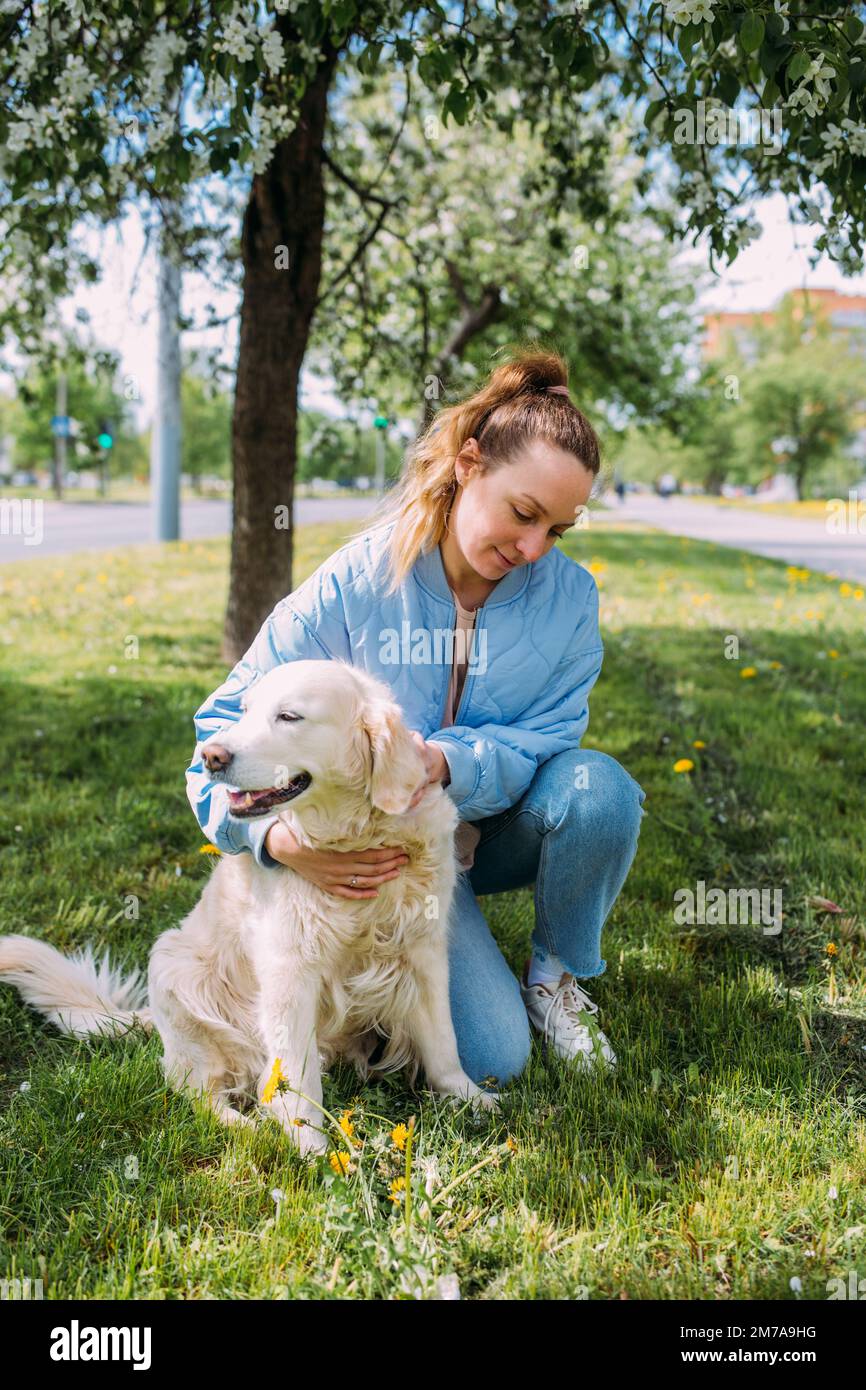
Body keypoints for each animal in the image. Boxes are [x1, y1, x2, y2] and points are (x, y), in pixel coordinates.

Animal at [0, 656, 497, 1156]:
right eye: (245, 710)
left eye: (289, 716)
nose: (211, 757)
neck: (355, 835)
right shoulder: (289, 968)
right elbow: (297, 1075)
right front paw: (313, 1149)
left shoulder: (423, 950)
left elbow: (442, 1039)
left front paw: (470, 1097)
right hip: (173, 969)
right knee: (200, 1094)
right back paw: (249, 1129)